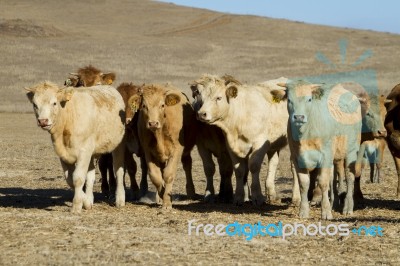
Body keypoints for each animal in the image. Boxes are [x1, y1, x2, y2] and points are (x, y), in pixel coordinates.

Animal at [25, 81, 126, 212]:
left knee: (118, 170)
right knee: (91, 176)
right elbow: (70, 180)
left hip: (118, 145)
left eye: (54, 103)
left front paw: (76, 206)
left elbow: (78, 178)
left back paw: (120, 199)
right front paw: (86, 201)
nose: (43, 121)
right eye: (35, 104)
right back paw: (90, 199)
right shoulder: (64, 155)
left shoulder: (84, 152)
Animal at [191, 75, 290, 206]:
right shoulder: (230, 147)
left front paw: (257, 196)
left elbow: (254, 166)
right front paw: (238, 197)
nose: (202, 114)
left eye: (219, 97)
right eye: (199, 95)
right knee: (273, 163)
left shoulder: (260, 144)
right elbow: (238, 170)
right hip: (273, 146)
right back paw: (271, 194)